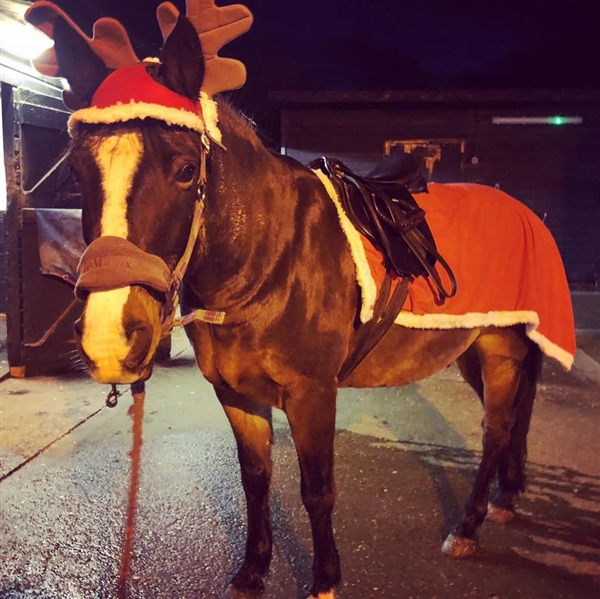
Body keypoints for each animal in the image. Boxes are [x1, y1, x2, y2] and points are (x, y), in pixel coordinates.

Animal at [25, 2, 576, 596]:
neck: (271, 261)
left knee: (497, 430)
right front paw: (252, 570)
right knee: (513, 419)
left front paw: (325, 579)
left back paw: (468, 525)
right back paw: (505, 498)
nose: (108, 339)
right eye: (77, 171)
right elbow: (256, 479)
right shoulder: (236, 395)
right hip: (473, 348)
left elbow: (317, 491)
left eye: (186, 170)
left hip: (501, 350)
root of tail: (525, 212)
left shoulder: (313, 394)